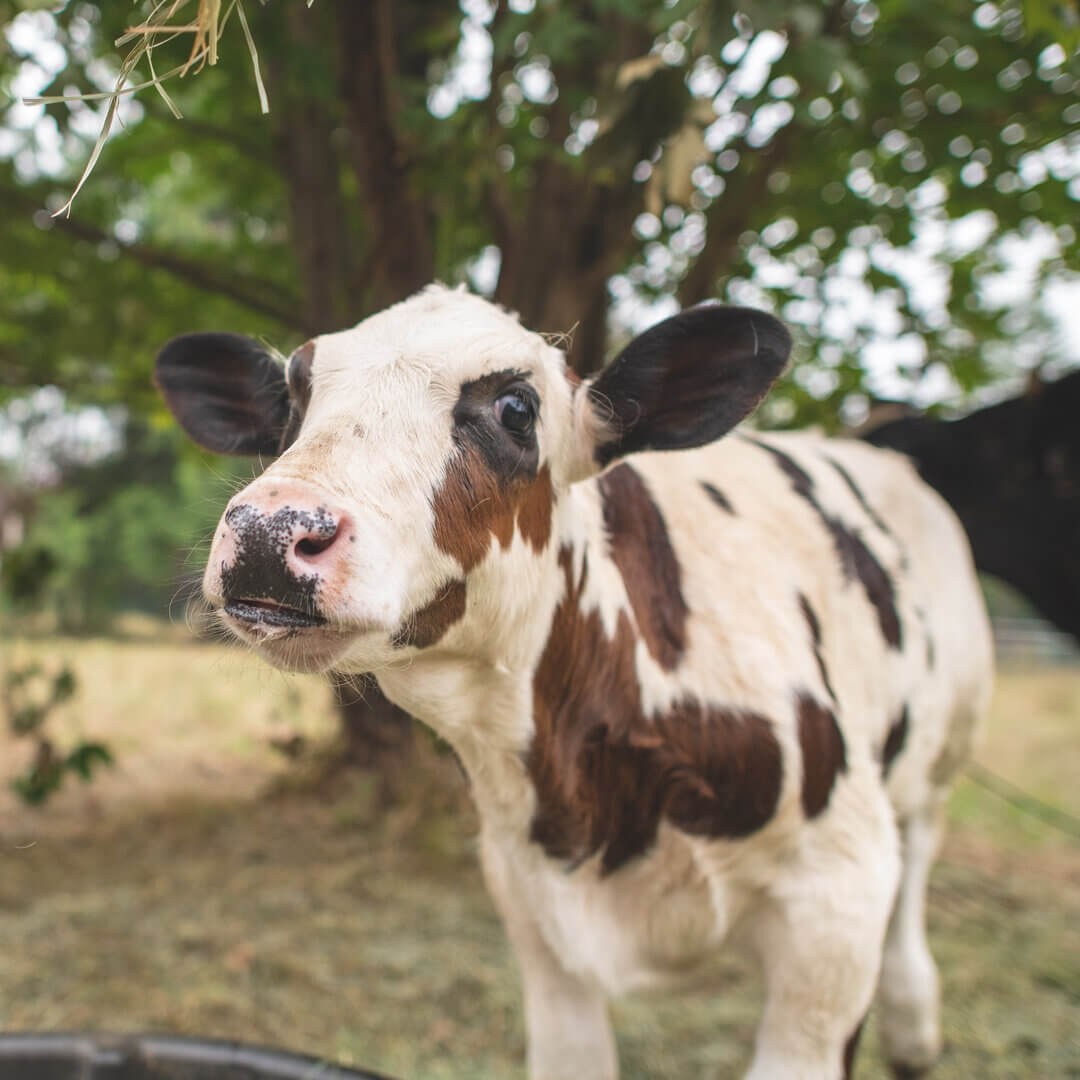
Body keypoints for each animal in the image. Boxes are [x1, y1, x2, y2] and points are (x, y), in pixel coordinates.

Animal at [154, 285, 993, 1080]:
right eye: (294, 401)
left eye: (516, 408)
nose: (270, 531)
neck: (599, 787)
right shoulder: (535, 919)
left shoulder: (836, 914)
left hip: (938, 764)